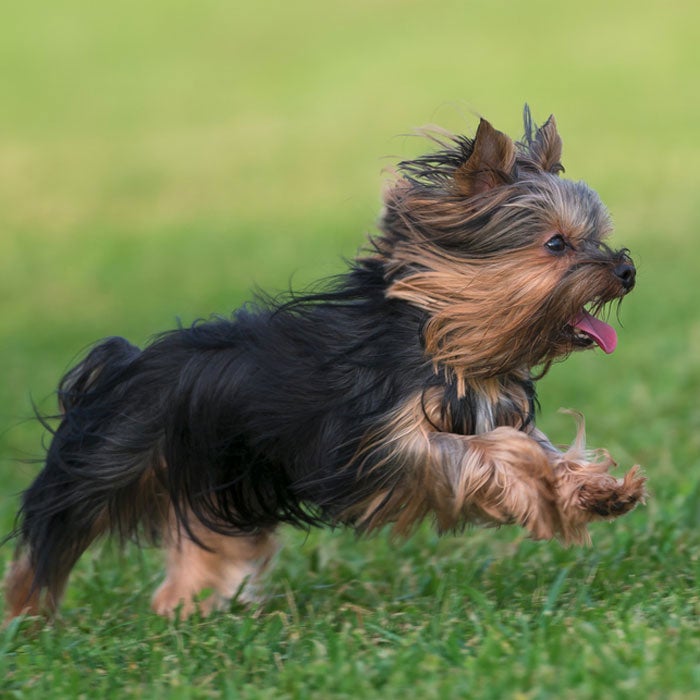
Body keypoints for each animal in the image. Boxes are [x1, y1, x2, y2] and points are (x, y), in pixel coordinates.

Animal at [4, 108, 644, 616]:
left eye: (596, 236)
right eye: (556, 244)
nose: (627, 270)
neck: (445, 338)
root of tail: (123, 366)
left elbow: (542, 449)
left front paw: (595, 491)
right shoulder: (383, 446)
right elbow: (485, 454)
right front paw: (540, 488)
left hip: (214, 484)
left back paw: (188, 608)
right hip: (108, 460)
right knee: (50, 532)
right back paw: (28, 617)